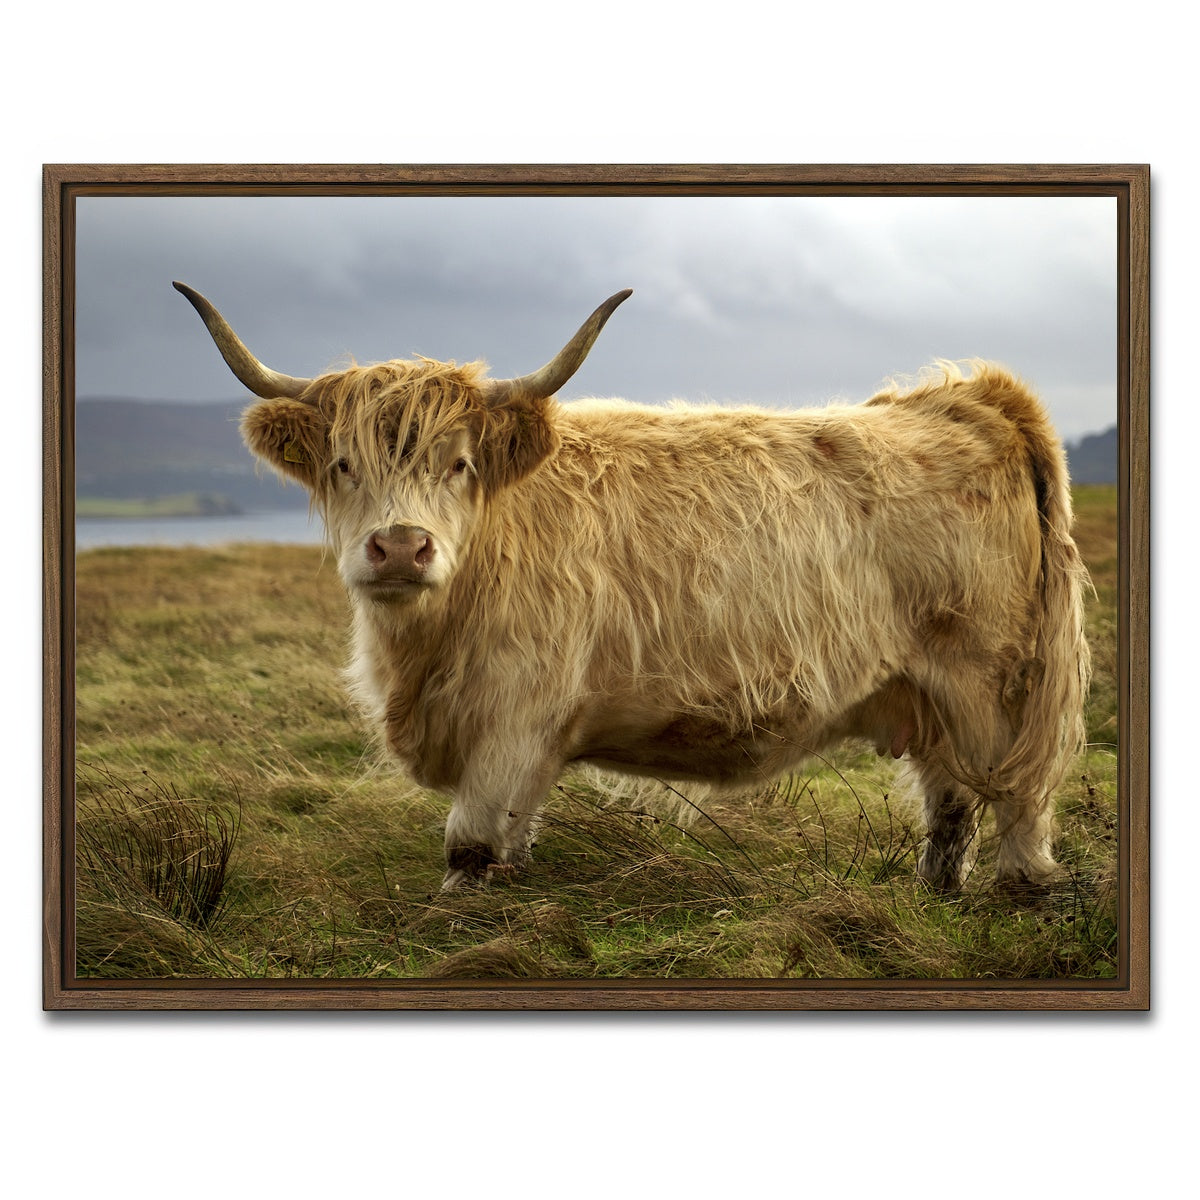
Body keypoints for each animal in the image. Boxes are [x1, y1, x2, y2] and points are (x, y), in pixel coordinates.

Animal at [175, 281, 1091, 892]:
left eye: (460, 463)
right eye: (342, 464)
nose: (401, 547)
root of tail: (969, 395)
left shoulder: (513, 717)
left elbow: (468, 849)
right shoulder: (530, 742)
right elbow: (511, 845)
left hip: (992, 683)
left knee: (1016, 801)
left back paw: (1016, 894)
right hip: (927, 690)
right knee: (950, 803)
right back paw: (932, 897)